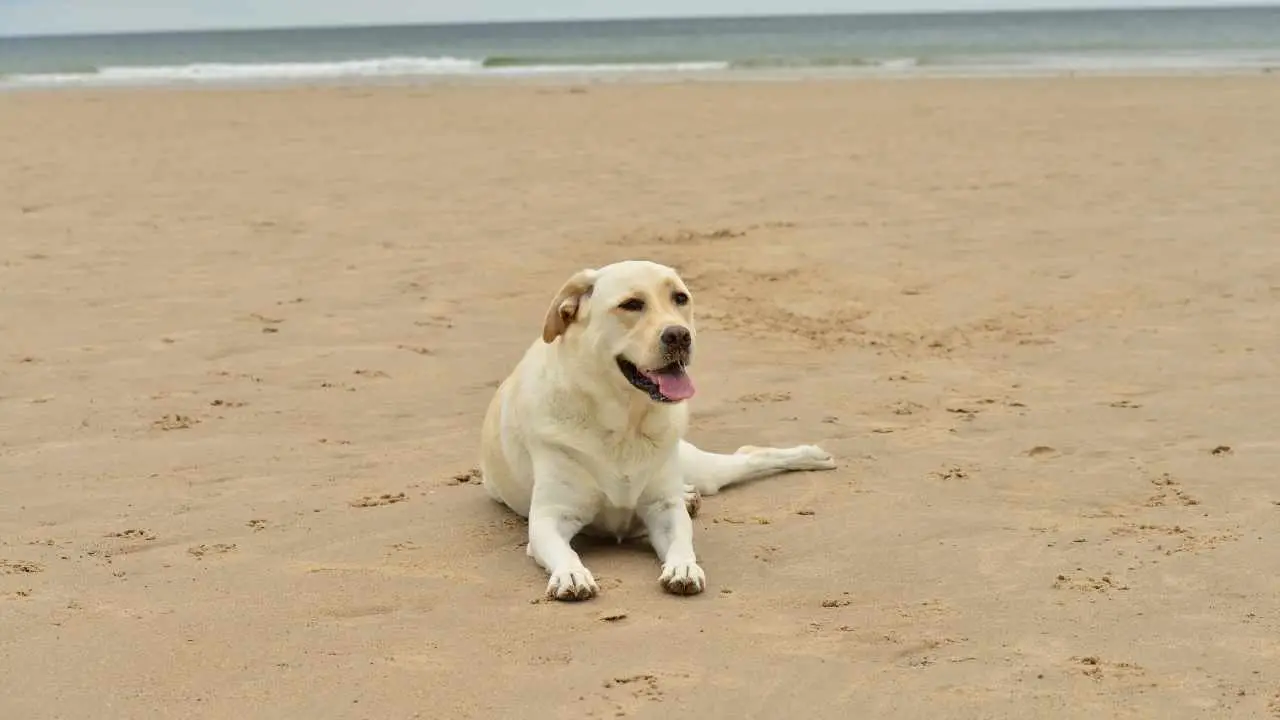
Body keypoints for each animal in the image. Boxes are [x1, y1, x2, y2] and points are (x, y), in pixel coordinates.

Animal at [478, 260, 829, 597]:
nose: (680, 335)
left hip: (698, 467)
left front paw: (683, 568)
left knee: (747, 457)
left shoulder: (664, 510)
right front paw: (572, 574)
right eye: (631, 304)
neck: (625, 423)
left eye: (680, 298)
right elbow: (566, 552)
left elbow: (681, 542)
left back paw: (812, 456)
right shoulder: (550, 517)